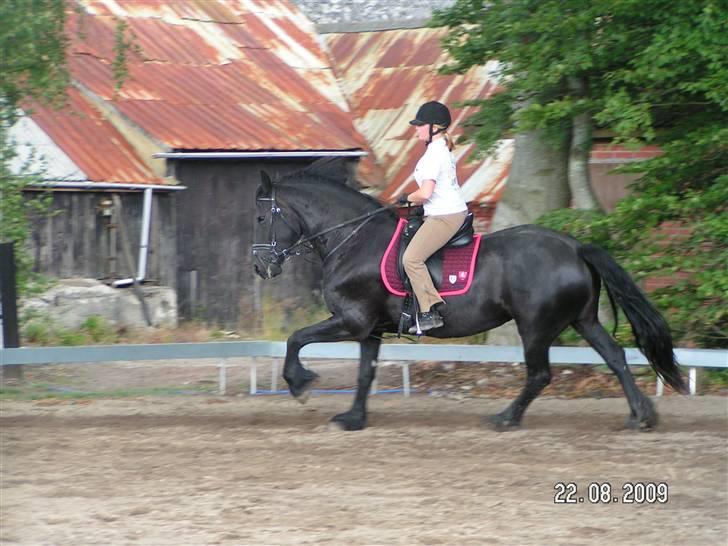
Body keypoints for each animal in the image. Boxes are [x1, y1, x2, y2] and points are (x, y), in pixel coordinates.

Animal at [253, 159, 684, 432]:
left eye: (260, 217)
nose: (261, 268)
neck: (354, 239)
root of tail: (575, 247)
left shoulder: (352, 321)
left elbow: (296, 339)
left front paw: (300, 385)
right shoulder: (370, 329)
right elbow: (364, 373)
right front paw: (354, 419)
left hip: (535, 326)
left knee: (540, 374)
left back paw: (505, 419)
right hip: (583, 320)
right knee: (615, 357)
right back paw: (641, 416)